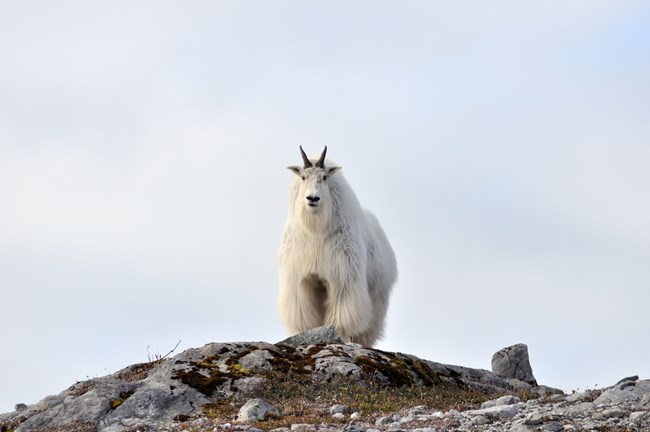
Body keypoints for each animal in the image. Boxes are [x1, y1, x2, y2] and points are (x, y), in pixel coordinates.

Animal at [278, 147, 394, 346]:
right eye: (303, 177)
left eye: (324, 177)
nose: (312, 198)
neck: (315, 230)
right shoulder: (302, 281)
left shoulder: (343, 279)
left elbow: (342, 314)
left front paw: (340, 335)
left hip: (377, 299)